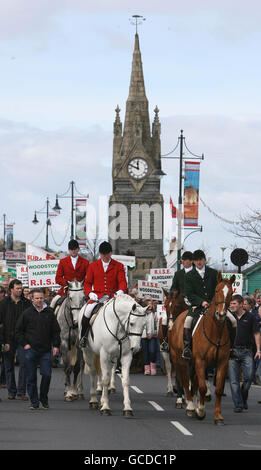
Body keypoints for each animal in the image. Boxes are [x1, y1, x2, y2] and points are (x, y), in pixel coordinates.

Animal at [170, 274, 235, 424]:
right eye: (216, 291)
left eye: (231, 293)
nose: (221, 314)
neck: (215, 330)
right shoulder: (201, 361)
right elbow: (202, 387)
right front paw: (200, 410)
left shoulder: (222, 363)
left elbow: (218, 389)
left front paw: (218, 416)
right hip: (180, 360)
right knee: (184, 380)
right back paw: (190, 406)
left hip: (193, 363)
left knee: (193, 382)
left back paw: (193, 405)